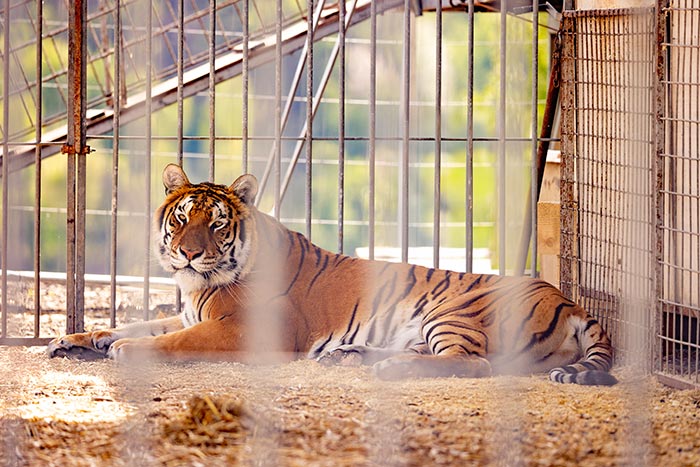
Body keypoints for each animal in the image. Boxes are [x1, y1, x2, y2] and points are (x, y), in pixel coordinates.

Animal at [48, 163, 617, 385]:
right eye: (182, 218)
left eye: (216, 223)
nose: (187, 254)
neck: (196, 284)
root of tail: (570, 300)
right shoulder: (186, 312)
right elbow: (136, 323)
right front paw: (76, 339)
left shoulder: (246, 328)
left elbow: (175, 342)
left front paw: (128, 351)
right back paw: (353, 356)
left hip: (453, 312)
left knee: (473, 364)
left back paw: (386, 368)